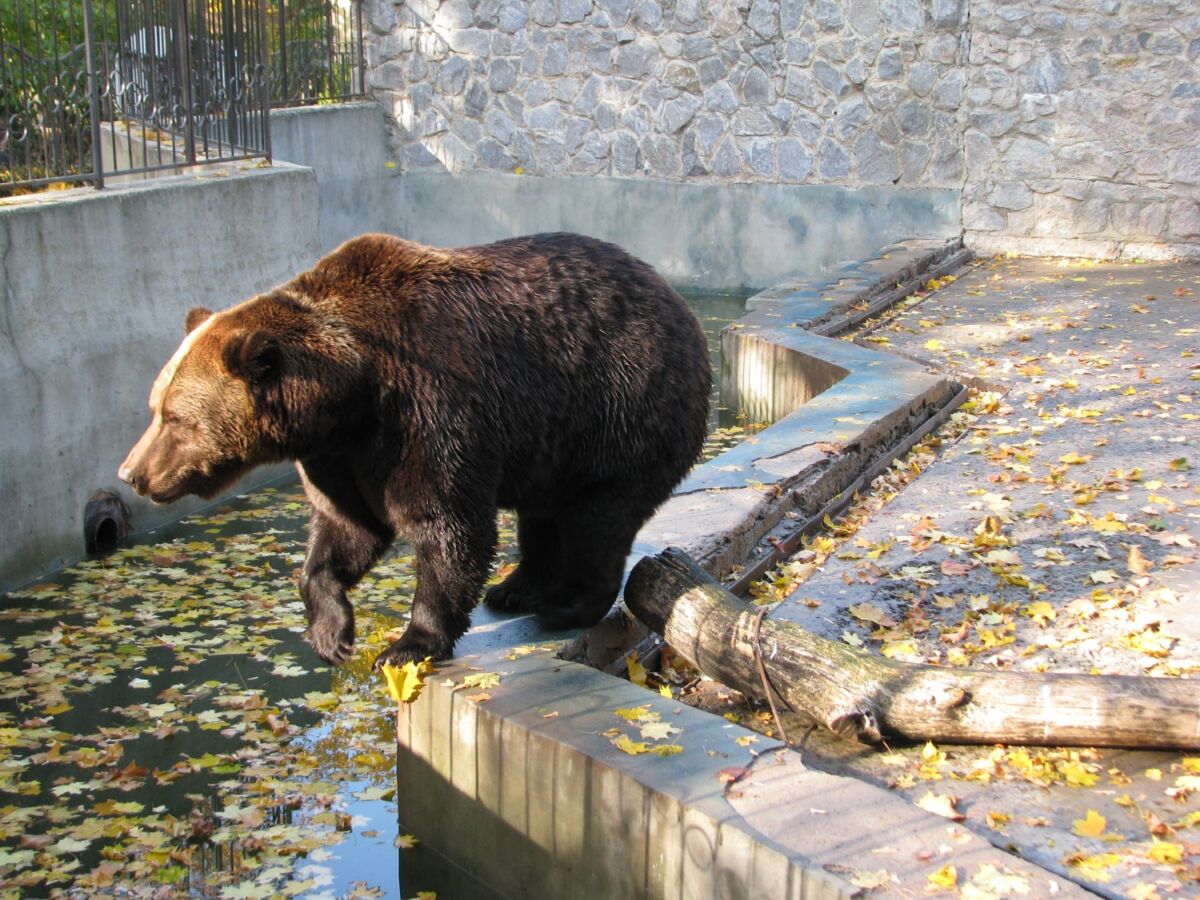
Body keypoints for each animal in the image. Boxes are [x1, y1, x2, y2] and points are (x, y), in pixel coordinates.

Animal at [119, 232, 710, 672]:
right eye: (154, 406)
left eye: (176, 418)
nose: (132, 473)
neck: (352, 395)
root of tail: (681, 304)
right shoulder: (341, 457)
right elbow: (346, 529)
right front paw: (332, 632)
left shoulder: (429, 410)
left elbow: (447, 526)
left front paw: (407, 644)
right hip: (552, 440)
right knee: (542, 515)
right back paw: (514, 587)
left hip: (620, 404)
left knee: (596, 518)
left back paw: (564, 601)